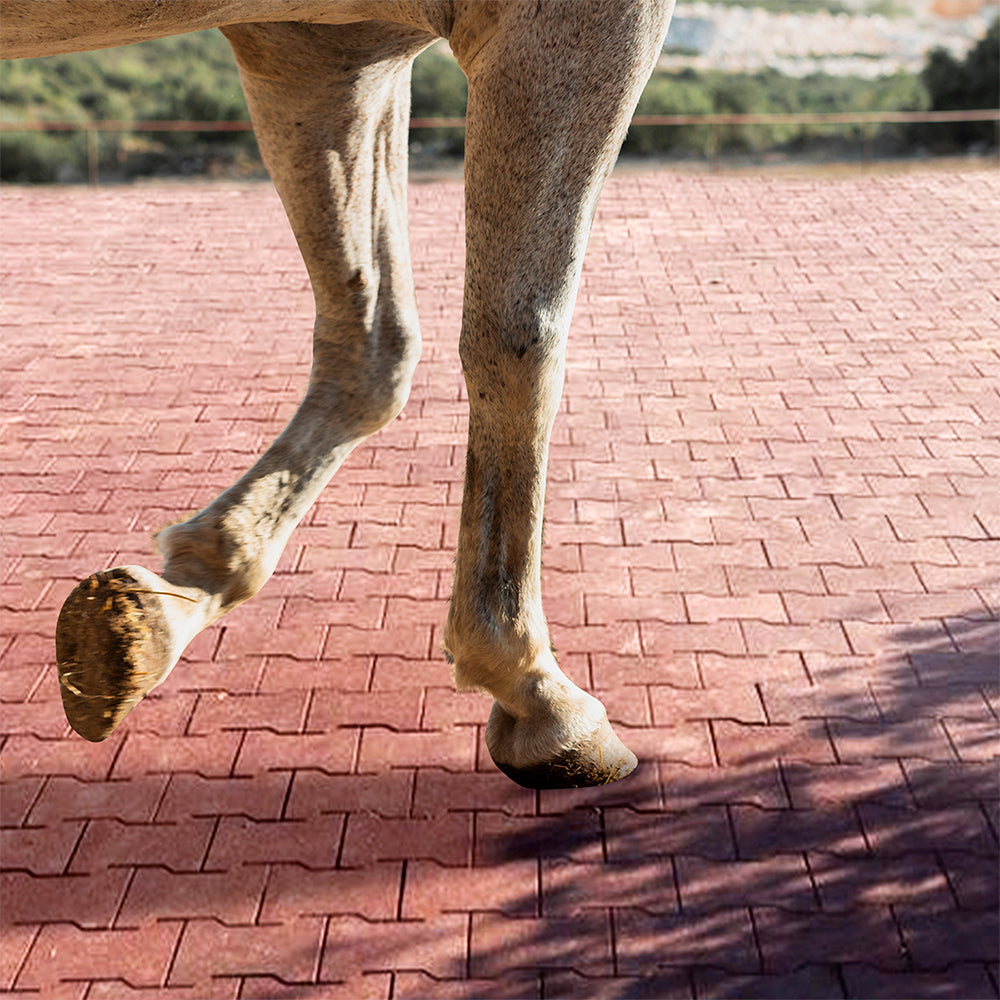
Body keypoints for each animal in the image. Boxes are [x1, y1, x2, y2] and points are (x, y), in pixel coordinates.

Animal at [2, 0, 675, 788]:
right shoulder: (568, 26)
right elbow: (522, 337)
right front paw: (533, 688)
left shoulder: (326, 55)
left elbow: (375, 345)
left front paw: (173, 599)